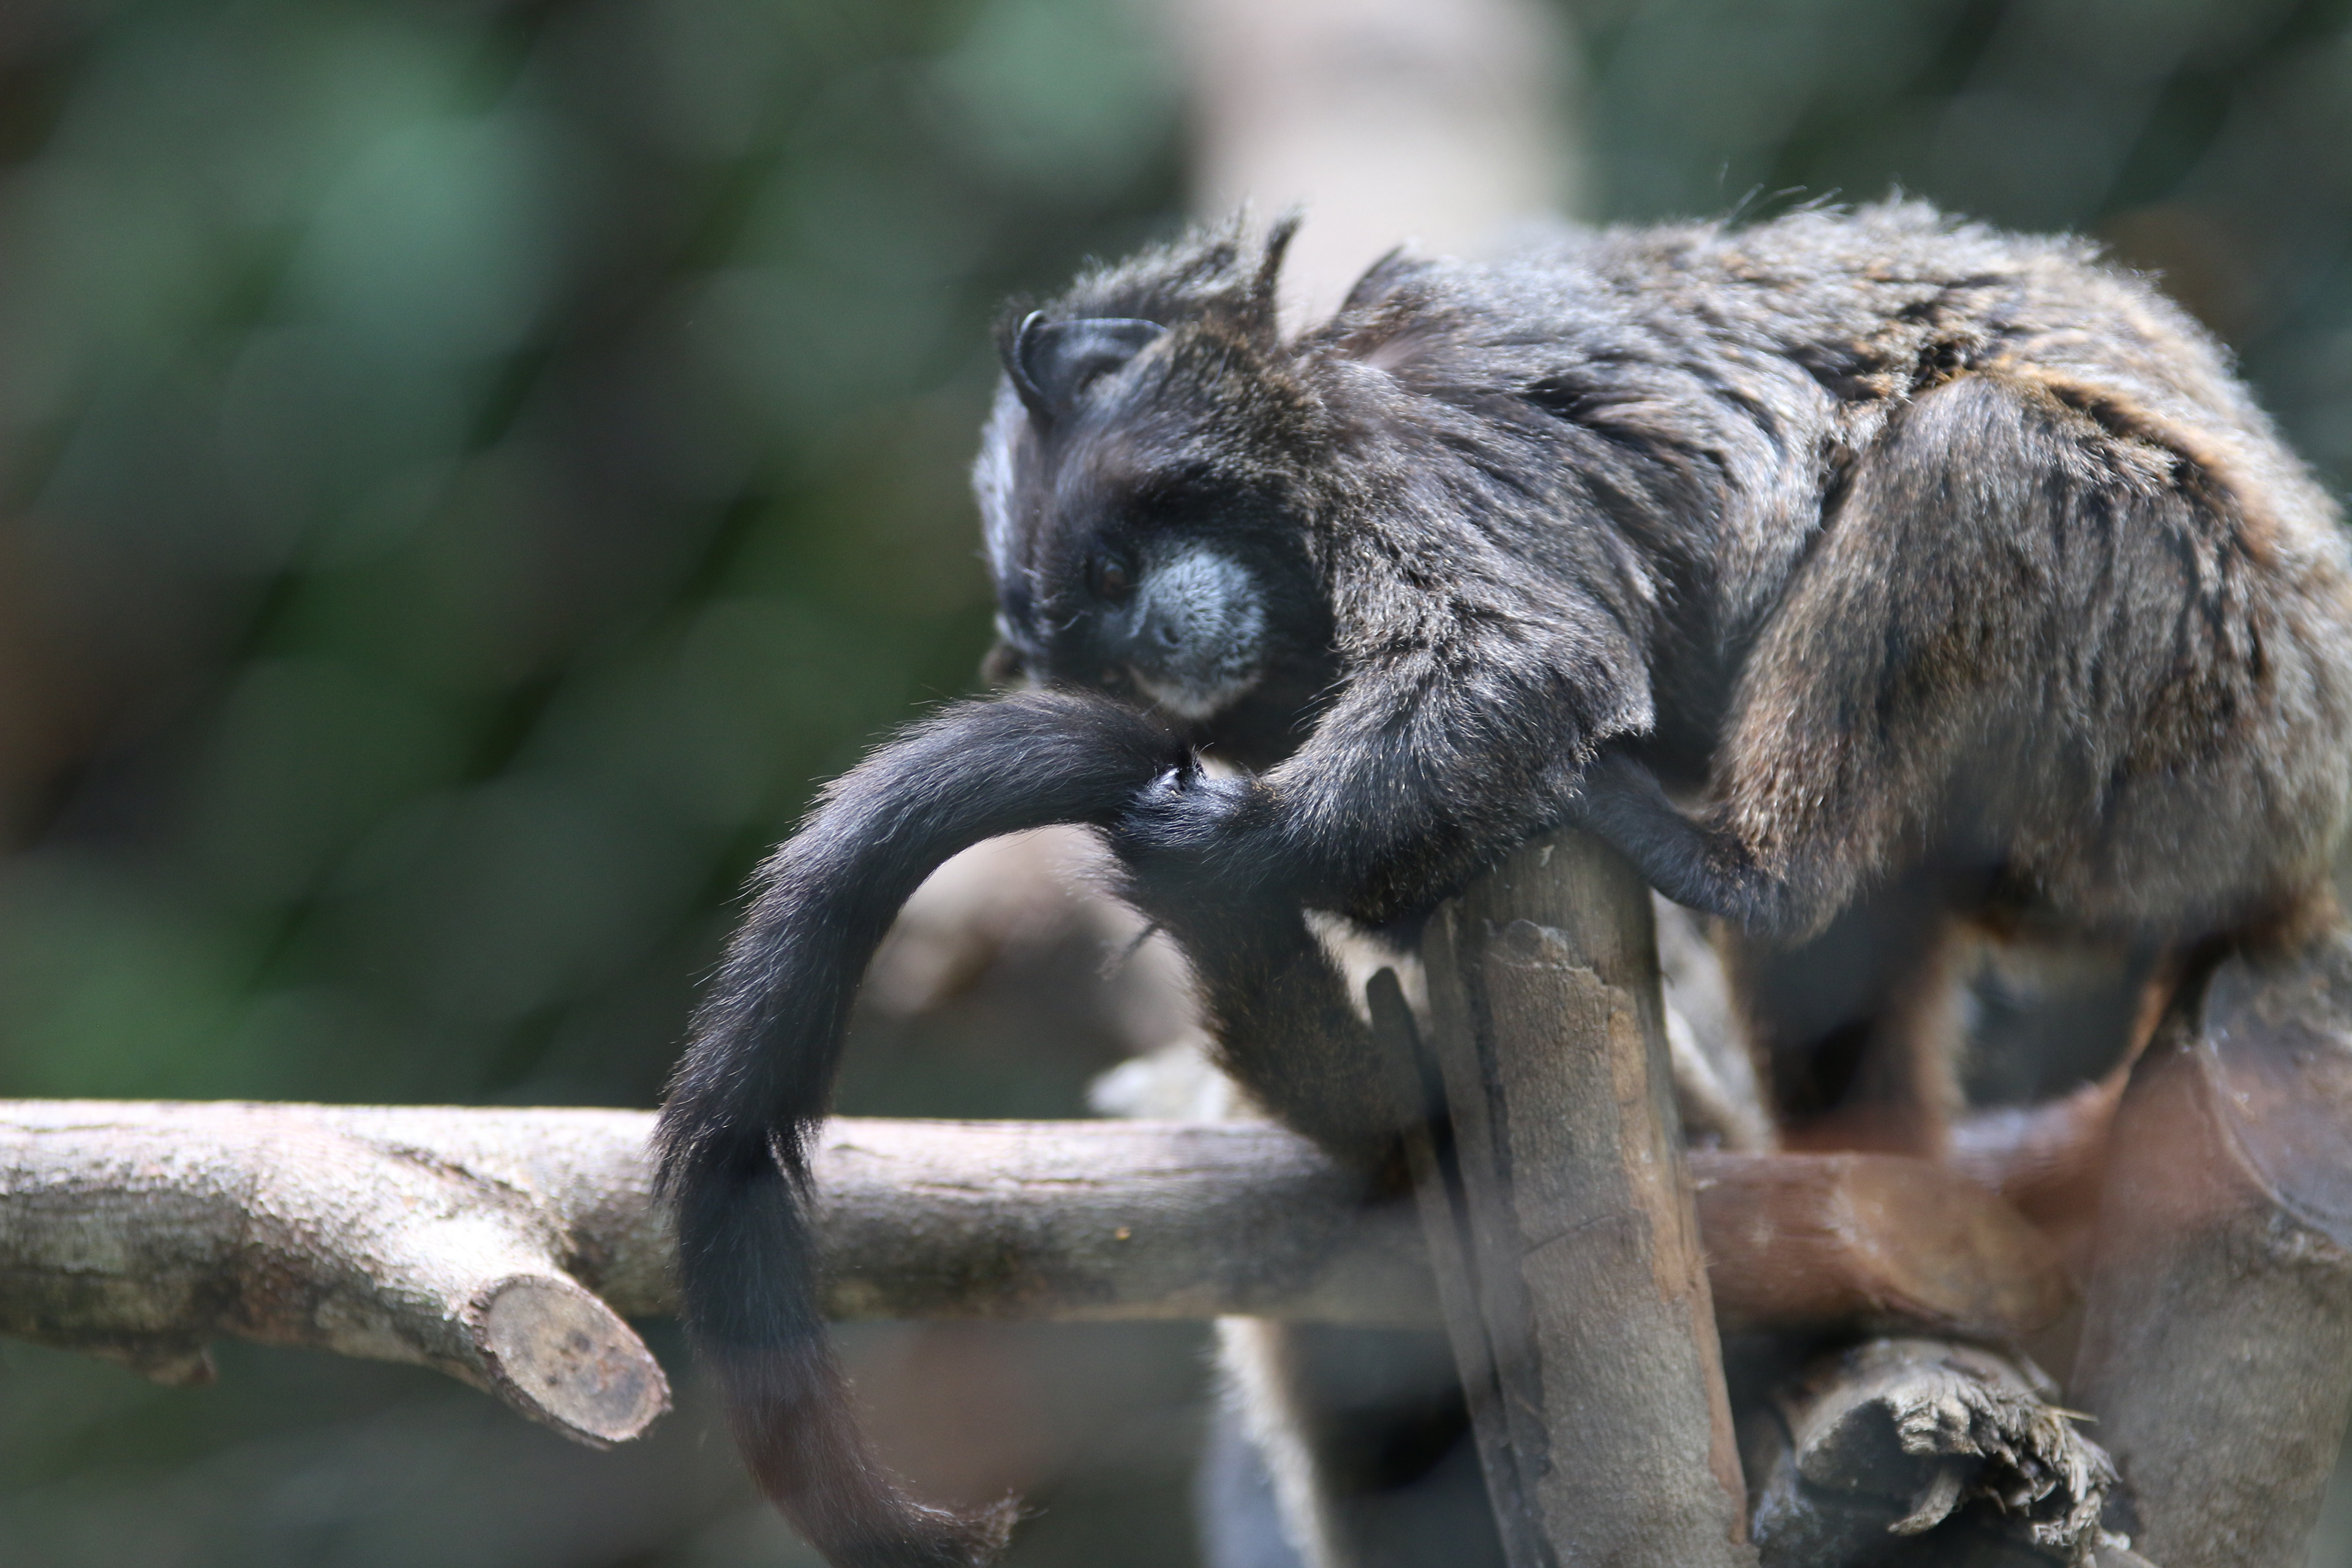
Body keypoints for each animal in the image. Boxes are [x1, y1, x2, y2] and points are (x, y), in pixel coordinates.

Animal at [654, 200, 2352, 1568]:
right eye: (1088, 634)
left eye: (1113, 577)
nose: (1157, 653)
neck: (1304, 430)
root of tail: (2300, 833)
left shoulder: (1417, 450)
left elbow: (1519, 661)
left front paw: (1215, 844)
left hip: (2195, 685)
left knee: (1969, 460)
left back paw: (1746, 870)